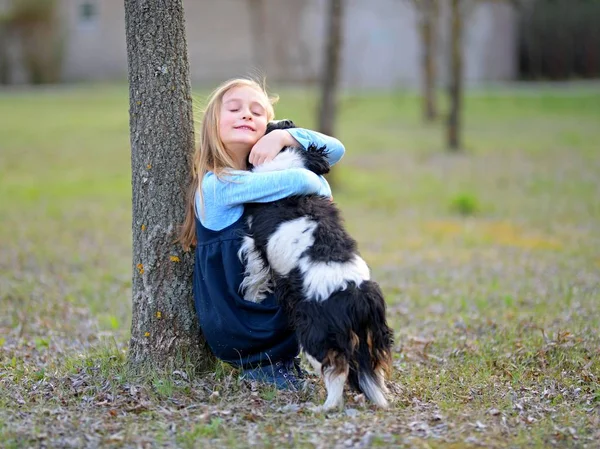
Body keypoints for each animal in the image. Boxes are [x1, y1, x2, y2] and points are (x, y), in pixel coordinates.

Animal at [239, 120, 394, 410]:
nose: (280, 122)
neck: (286, 162)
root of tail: (356, 291)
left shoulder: (254, 244)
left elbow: (254, 277)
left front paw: (252, 297)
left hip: (314, 333)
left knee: (337, 369)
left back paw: (325, 407)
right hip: (370, 335)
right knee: (373, 368)